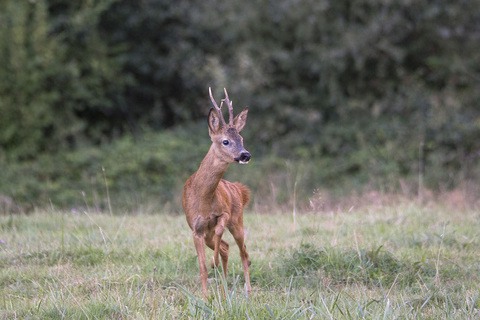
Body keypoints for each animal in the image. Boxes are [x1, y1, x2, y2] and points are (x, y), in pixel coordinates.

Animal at [182, 87, 253, 300]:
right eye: (226, 141)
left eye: (242, 139)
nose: (245, 155)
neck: (204, 200)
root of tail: (238, 189)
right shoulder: (196, 229)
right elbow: (202, 268)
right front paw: (205, 298)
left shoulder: (225, 213)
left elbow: (220, 230)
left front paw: (213, 263)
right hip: (208, 234)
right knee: (226, 248)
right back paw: (222, 289)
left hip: (237, 220)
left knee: (243, 252)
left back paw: (248, 290)